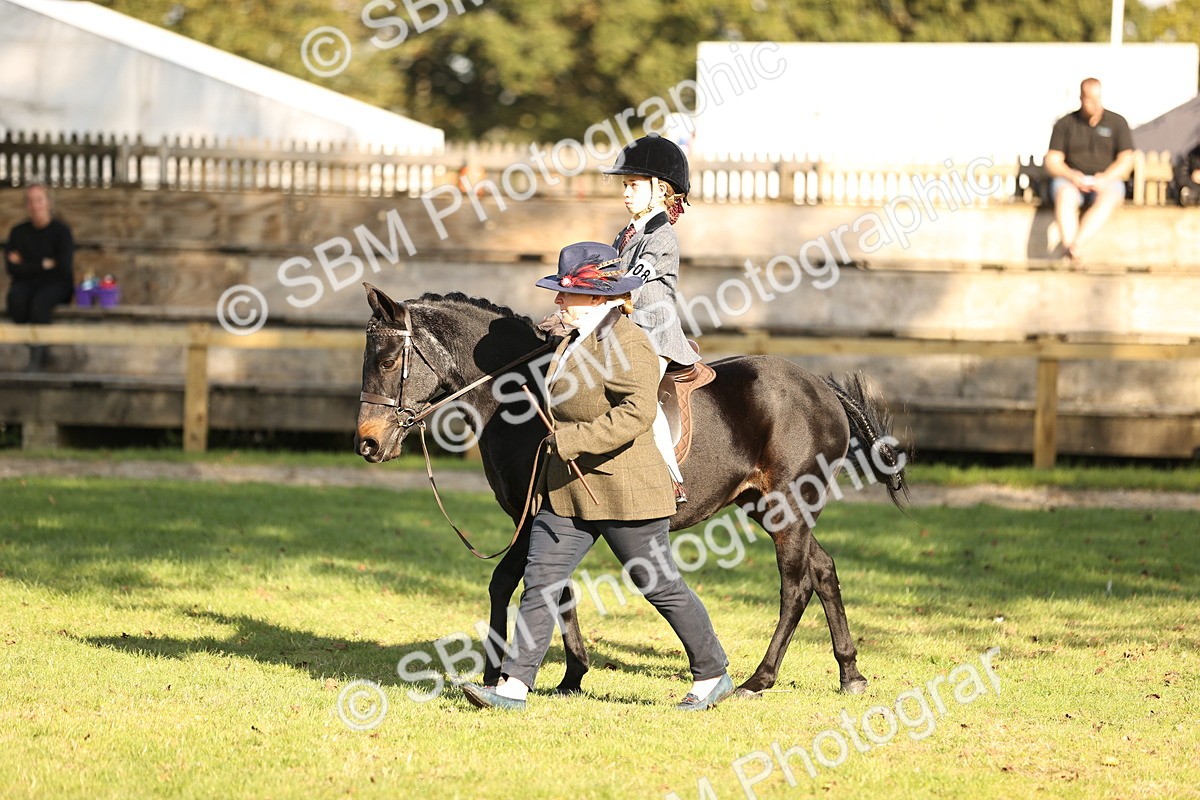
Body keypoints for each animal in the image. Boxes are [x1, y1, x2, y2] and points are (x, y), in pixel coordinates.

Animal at [354, 284, 909, 698]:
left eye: (387, 361)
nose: (367, 443)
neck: (525, 400)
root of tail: (820, 386)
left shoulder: (533, 515)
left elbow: (509, 582)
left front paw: (499, 674)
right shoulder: (546, 516)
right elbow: (553, 587)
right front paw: (570, 675)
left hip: (787, 507)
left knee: (796, 586)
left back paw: (759, 679)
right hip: (769, 506)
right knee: (824, 570)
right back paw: (850, 673)